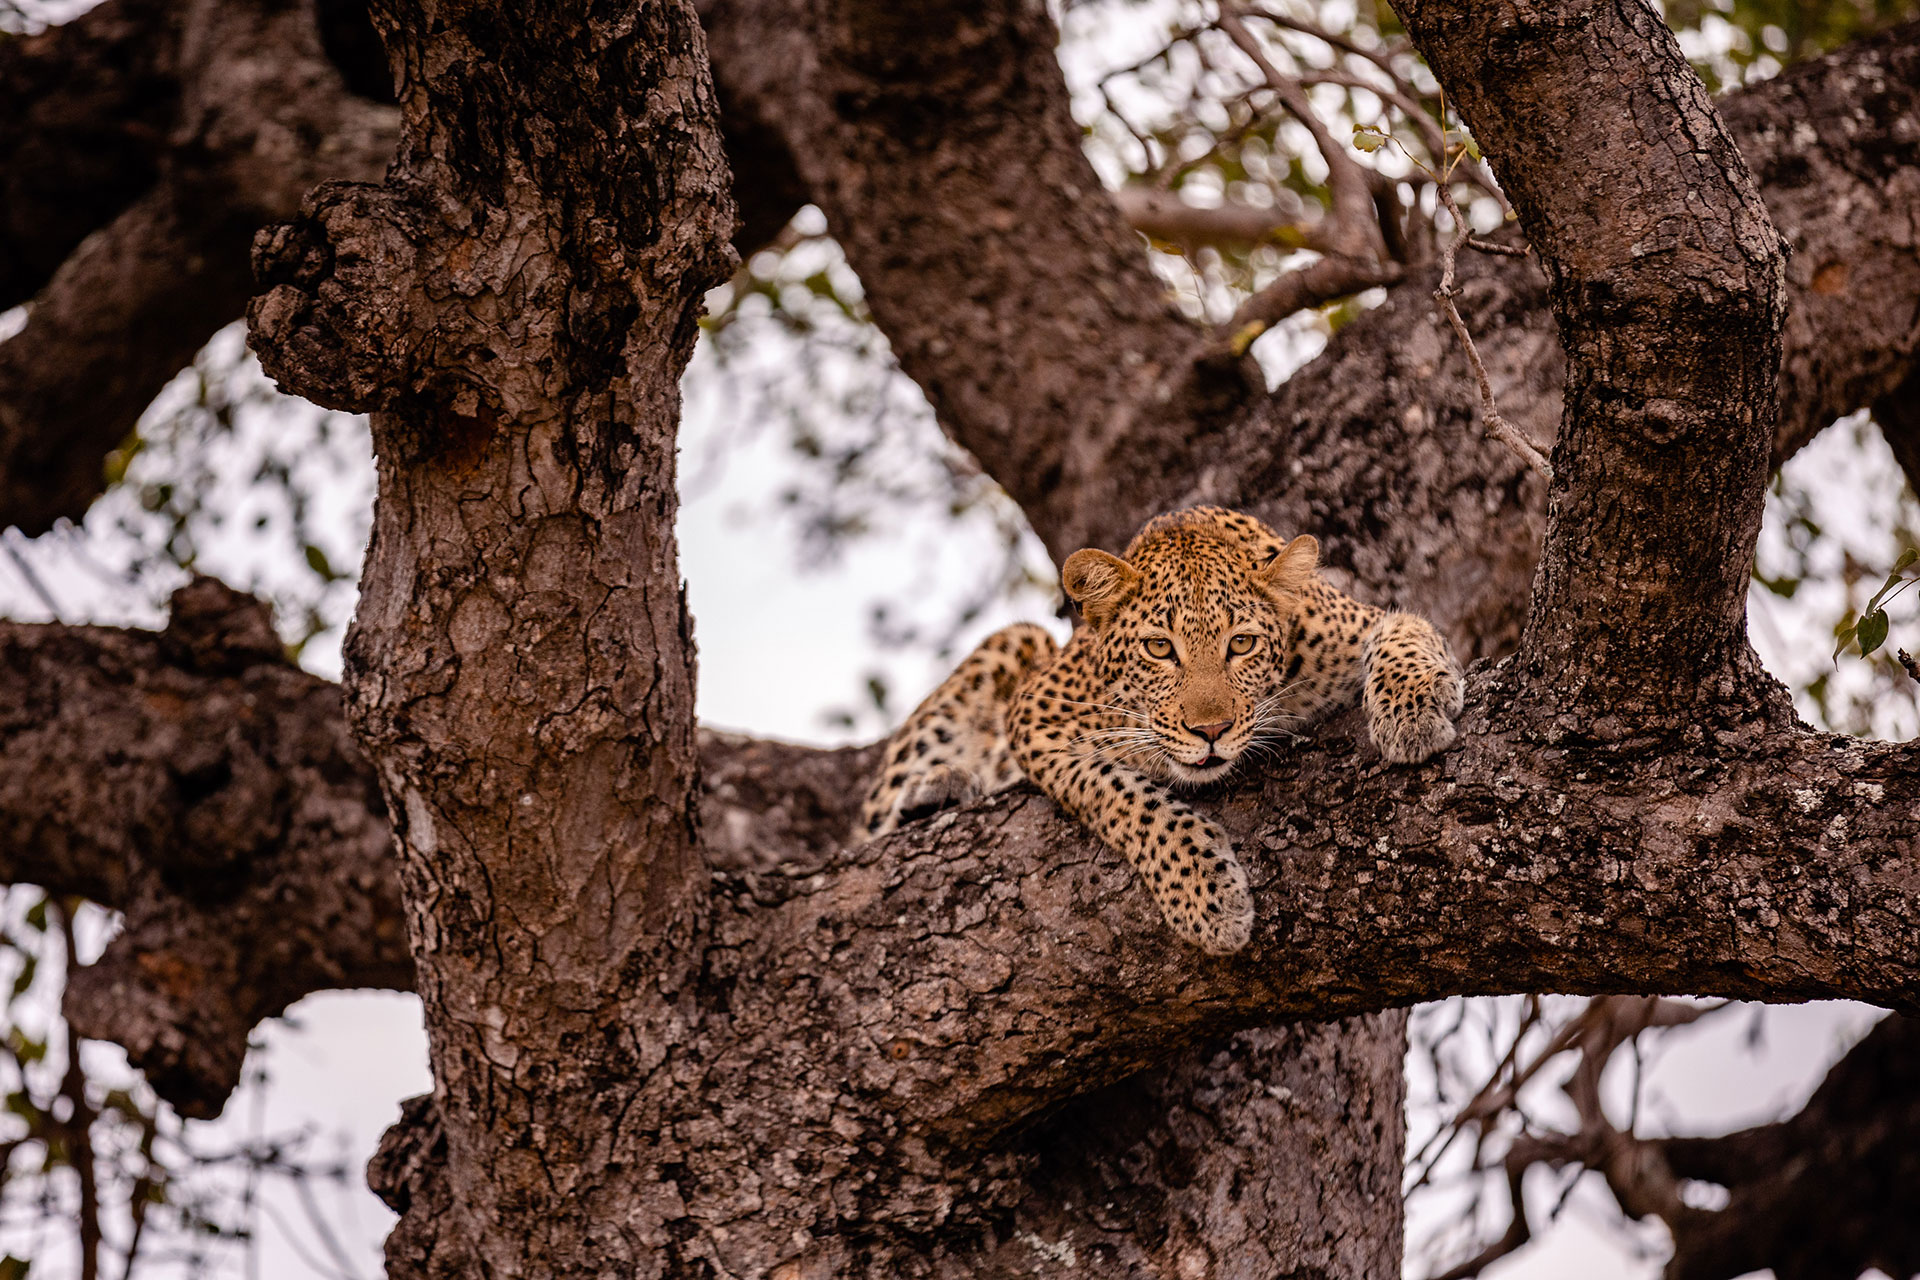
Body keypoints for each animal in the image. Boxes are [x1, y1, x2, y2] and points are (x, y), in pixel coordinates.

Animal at [857, 506, 1463, 954]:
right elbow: (1121, 797)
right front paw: (1206, 897)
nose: (1211, 730)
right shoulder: (1037, 715)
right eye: (1159, 648)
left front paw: (1411, 713)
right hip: (1016, 642)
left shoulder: (1360, 623)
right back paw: (934, 792)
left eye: (1242, 644)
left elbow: (1406, 633)